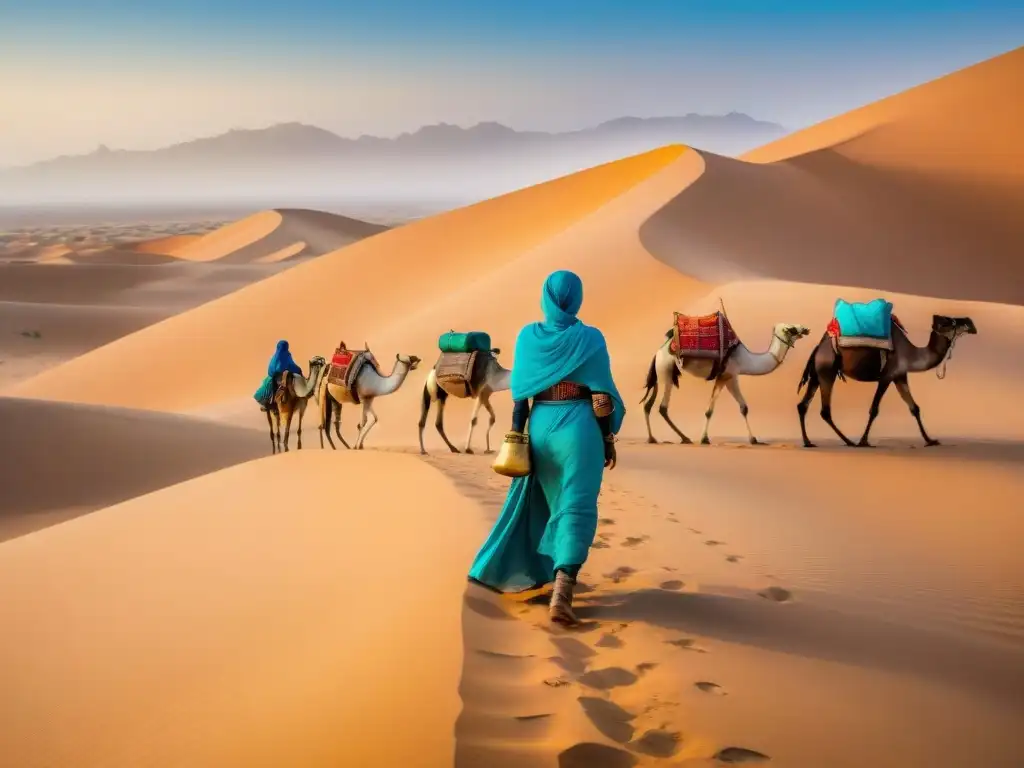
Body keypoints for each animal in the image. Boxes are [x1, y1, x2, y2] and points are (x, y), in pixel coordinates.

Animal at [643, 323, 811, 444]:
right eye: (791, 328)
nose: (806, 329)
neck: (747, 359)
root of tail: (658, 353)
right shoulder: (730, 376)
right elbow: (742, 408)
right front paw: (753, 439)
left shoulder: (723, 378)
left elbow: (712, 410)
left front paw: (705, 438)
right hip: (665, 371)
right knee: (662, 407)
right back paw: (684, 438)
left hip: (662, 372)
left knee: (647, 405)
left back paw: (652, 438)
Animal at [794, 313, 978, 448]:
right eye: (949, 321)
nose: (970, 323)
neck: (910, 354)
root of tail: (818, 349)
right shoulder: (887, 376)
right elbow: (874, 409)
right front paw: (864, 441)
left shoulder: (900, 376)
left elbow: (915, 408)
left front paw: (930, 440)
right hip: (827, 370)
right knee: (825, 411)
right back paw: (849, 441)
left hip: (817, 374)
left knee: (803, 405)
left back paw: (808, 442)